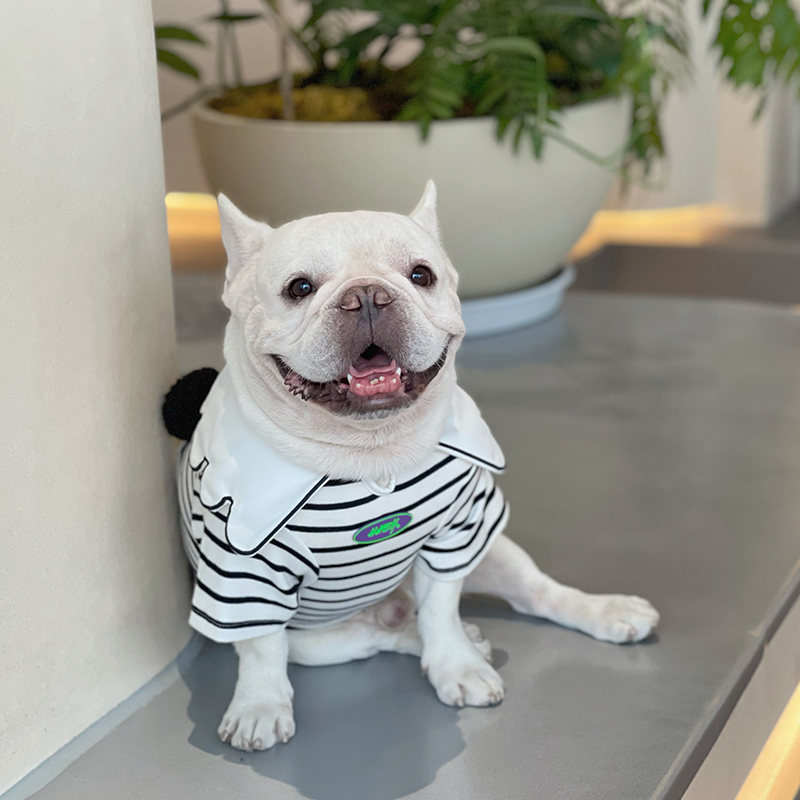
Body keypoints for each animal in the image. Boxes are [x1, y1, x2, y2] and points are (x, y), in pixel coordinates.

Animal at [172, 182, 659, 753]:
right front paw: (258, 705)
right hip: (315, 640)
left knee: (533, 593)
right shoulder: (244, 576)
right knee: (372, 637)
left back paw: (600, 612)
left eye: (421, 275)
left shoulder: (457, 530)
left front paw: (456, 664)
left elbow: (443, 608)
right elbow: (261, 646)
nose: (366, 295)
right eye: (299, 288)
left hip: (494, 550)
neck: (371, 453)